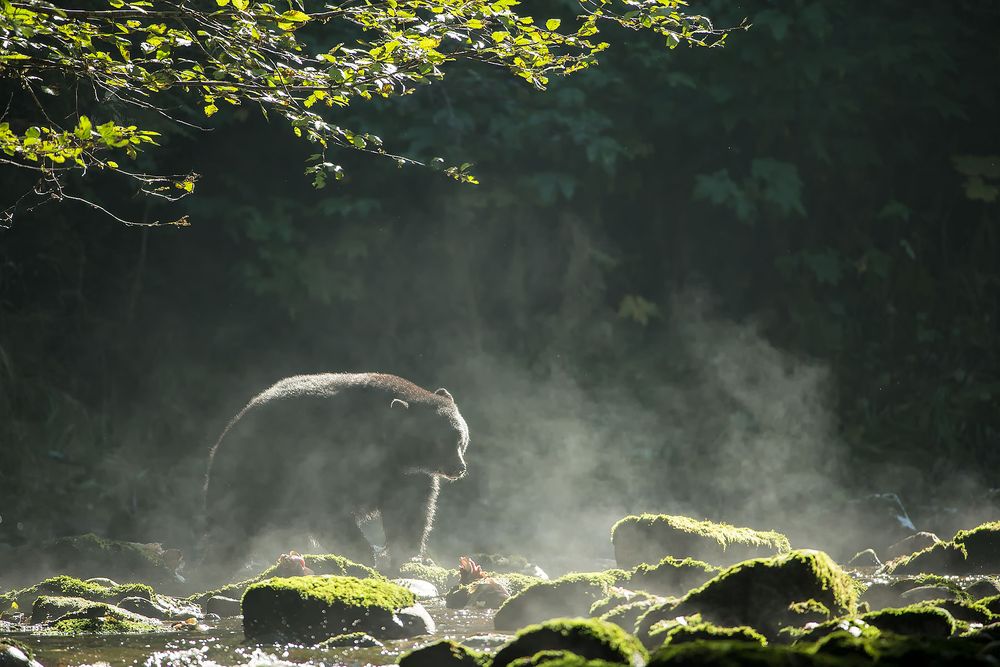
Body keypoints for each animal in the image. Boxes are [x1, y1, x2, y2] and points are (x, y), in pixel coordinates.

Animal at [200, 372, 469, 576]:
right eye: (437, 442)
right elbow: (330, 512)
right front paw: (363, 554)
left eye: (459, 438)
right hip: (250, 481)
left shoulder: (406, 476)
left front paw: (408, 555)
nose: (459, 468)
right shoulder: (329, 458)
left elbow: (411, 512)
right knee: (230, 531)